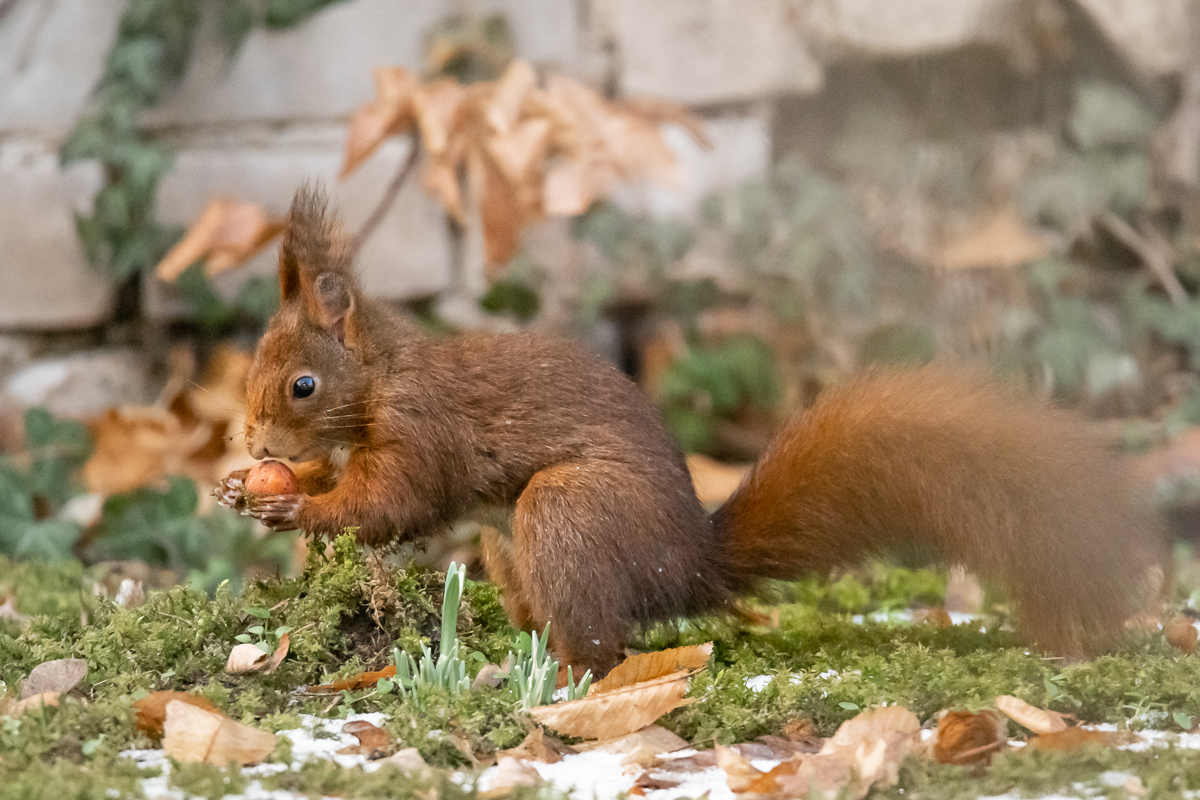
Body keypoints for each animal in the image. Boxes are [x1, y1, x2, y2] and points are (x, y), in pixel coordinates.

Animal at [216, 188, 1161, 676]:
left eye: (302, 385)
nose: (256, 445)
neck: (381, 377)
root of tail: (685, 565)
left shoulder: (424, 431)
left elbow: (392, 504)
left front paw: (296, 508)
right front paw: (244, 490)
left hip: (568, 512)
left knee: (601, 644)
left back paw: (559, 676)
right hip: (508, 549)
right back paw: (511, 646)